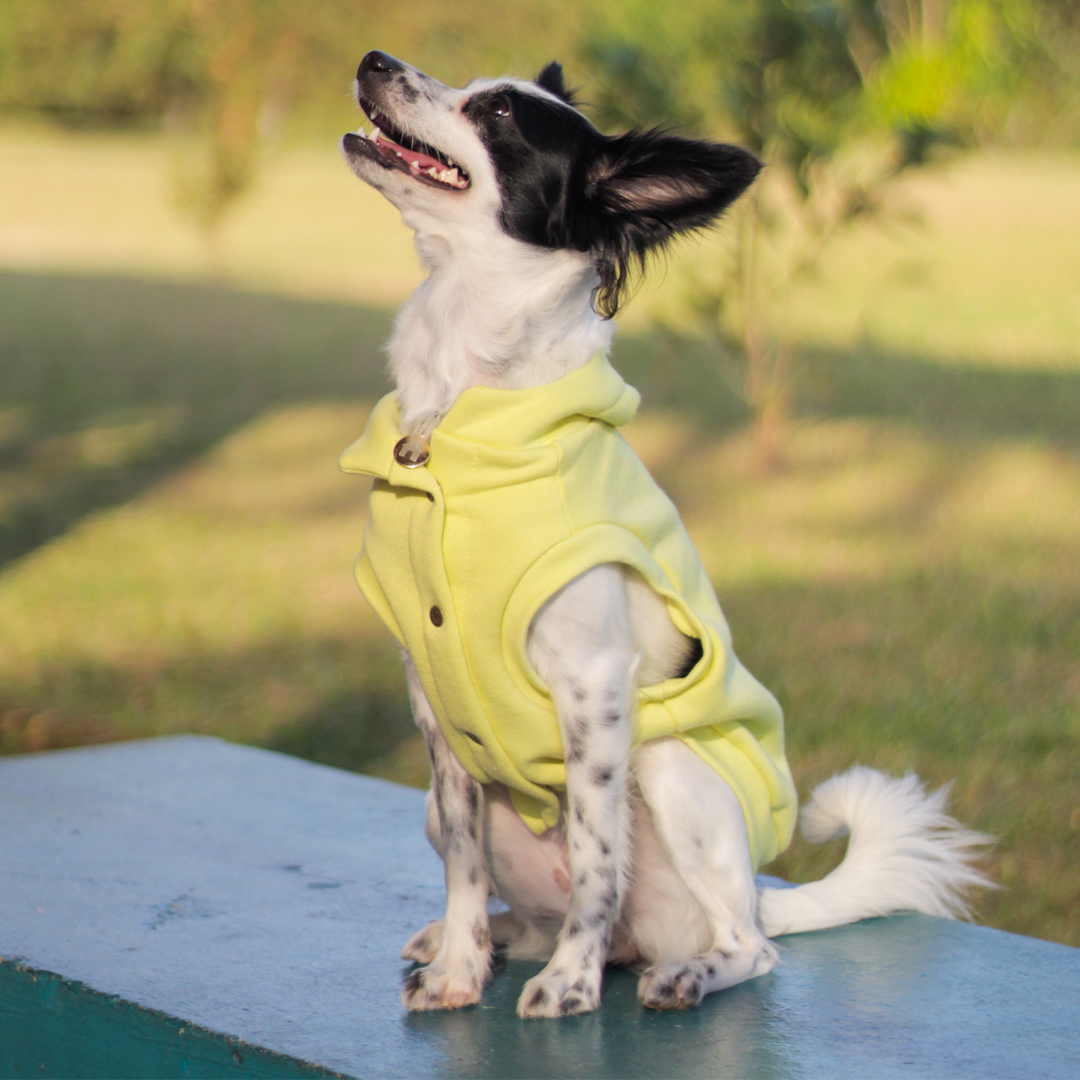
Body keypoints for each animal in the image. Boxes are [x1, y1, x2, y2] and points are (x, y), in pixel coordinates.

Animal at [336, 50, 989, 1015]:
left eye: (497, 113)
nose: (374, 60)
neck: (458, 416)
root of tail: (760, 890)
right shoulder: (435, 702)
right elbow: (461, 862)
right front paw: (459, 968)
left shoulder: (595, 686)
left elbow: (596, 856)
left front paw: (569, 988)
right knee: (525, 909)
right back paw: (486, 943)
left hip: (673, 768)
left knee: (751, 946)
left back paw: (673, 971)